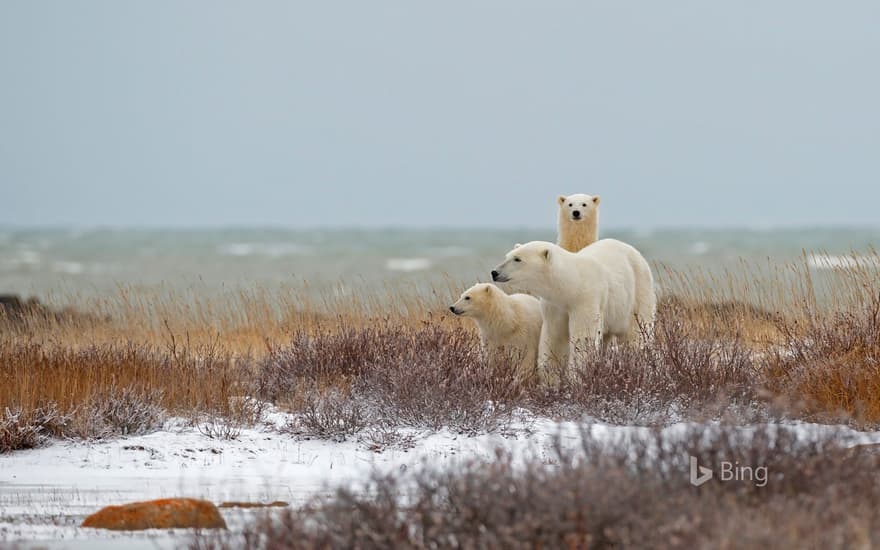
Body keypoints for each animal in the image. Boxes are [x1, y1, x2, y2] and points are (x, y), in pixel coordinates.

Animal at [492, 242, 656, 370]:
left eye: (517, 259)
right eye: (507, 256)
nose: (494, 272)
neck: (572, 283)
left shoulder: (586, 299)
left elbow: (583, 338)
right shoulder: (555, 306)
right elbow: (555, 338)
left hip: (637, 291)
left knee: (636, 334)